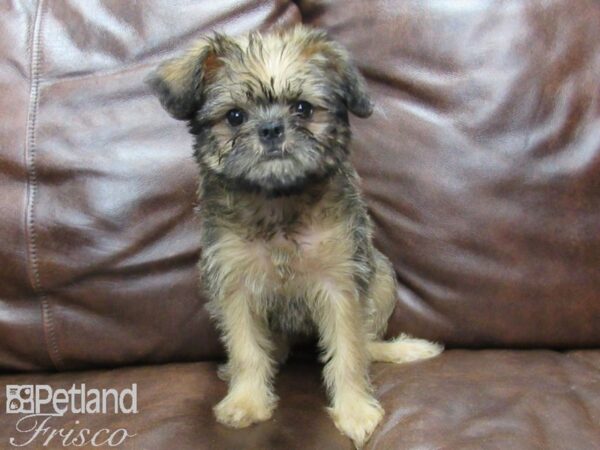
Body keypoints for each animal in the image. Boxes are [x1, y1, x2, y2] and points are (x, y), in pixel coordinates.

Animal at [148, 26, 442, 448]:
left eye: (303, 109)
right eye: (235, 116)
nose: (271, 129)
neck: (278, 203)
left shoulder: (340, 284)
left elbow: (349, 352)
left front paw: (355, 411)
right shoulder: (234, 285)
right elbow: (246, 349)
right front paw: (247, 401)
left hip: (384, 277)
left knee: (368, 344)